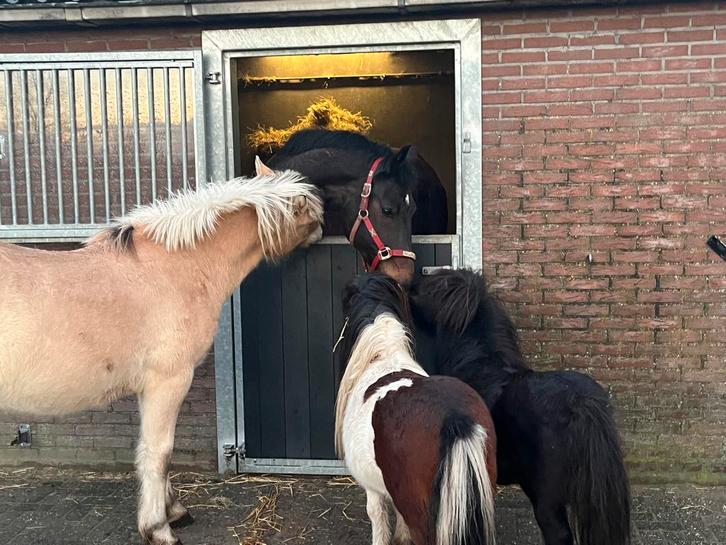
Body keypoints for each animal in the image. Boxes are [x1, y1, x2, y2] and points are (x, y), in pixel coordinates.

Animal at [0, 165, 323, 545]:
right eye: (310, 212)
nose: (322, 230)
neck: (175, 268)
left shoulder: (148, 388)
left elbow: (148, 450)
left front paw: (174, 511)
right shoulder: (168, 382)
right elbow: (159, 453)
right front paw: (158, 528)